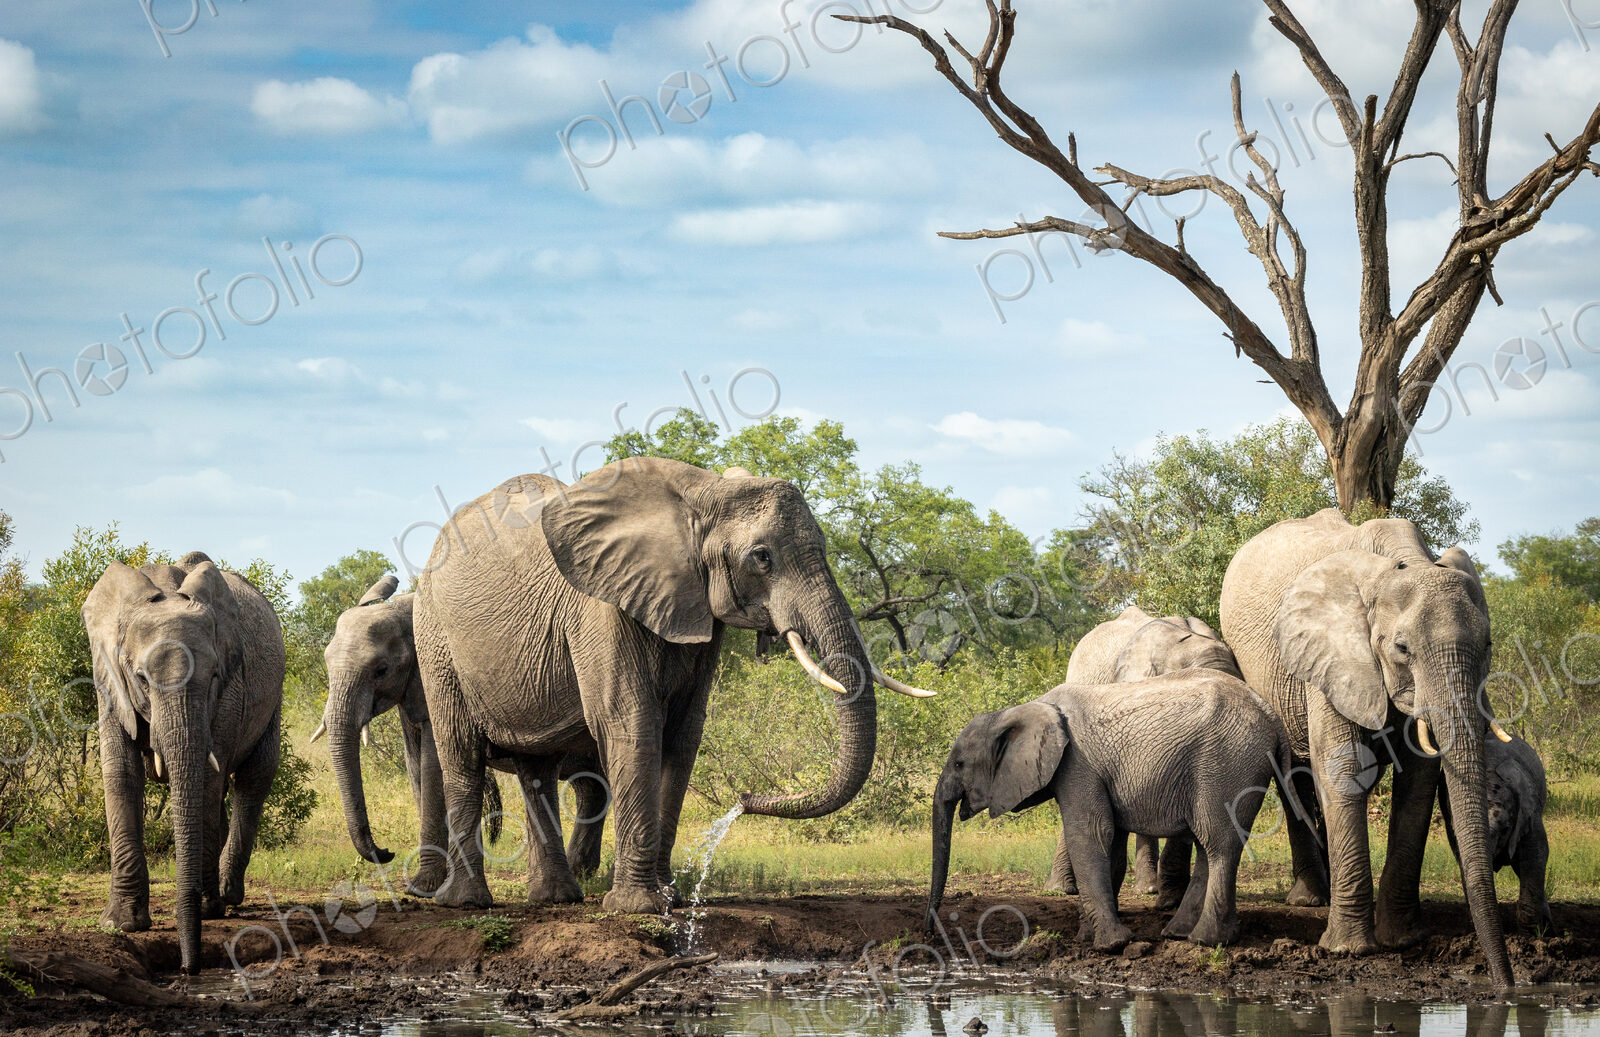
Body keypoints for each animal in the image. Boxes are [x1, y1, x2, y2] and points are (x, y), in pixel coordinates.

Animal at [82, 552, 284, 974]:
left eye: (213, 677)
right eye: (141, 679)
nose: (188, 968)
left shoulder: (230, 688)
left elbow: (207, 776)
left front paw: (207, 910)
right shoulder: (108, 677)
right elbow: (121, 774)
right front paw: (122, 924)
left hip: (273, 698)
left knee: (254, 777)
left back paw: (226, 895)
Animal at [313, 574, 607, 890]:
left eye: (381, 670)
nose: (387, 852)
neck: (403, 607)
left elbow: (433, 769)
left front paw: (423, 886)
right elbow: (416, 767)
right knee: (591, 786)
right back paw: (580, 873)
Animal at [414, 460, 930, 914]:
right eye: (761, 558)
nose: (745, 800)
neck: (700, 492)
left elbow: (683, 734)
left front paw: (668, 900)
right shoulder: (601, 606)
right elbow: (631, 723)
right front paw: (637, 907)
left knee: (535, 768)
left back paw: (556, 899)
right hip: (434, 637)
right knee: (461, 754)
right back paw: (465, 903)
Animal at [930, 670, 1289, 949]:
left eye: (959, 764)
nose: (930, 932)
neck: (1022, 709)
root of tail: (1271, 715)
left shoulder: (1077, 764)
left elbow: (1090, 834)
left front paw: (1111, 945)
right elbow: (1111, 841)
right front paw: (1088, 938)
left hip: (1227, 764)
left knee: (1218, 844)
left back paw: (1206, 941)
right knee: (1207, 845)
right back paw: (1178, 934)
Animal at [1218, 507, 1516, 989]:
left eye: (1488, 645)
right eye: (1402, 648)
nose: (1508, 988)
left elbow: (1418, 782)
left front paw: (1403, 941)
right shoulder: (1329, 653)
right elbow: (1342, 769)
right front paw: (1349, 951)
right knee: (1292, 776)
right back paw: (1311, 900)